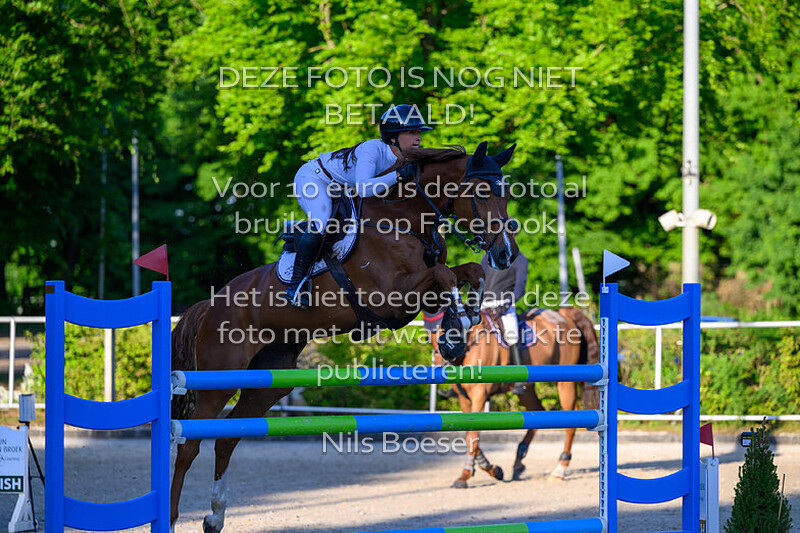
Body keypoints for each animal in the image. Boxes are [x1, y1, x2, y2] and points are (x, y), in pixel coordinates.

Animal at [169, 141, 520, 531]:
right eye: (482, 192)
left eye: (506, 193)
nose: (506, 254)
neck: (406, 221)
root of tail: (210, 305)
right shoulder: (392, 297)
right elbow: (445, 276)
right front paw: (457, 331)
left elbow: (468, 272)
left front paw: (463, 322)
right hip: (218, 382)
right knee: (189, 444)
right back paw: (171, 516)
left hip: (268, 383)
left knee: (227, 439)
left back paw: (215, 516)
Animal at [433, 307, 599, 489]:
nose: (444, 363)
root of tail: (562, 314)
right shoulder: (464, 399)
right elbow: (469, 434)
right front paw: (493, 470)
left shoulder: (479, 394)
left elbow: (472, 435)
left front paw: (465, 475)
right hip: (528, 390)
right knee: (536, 412)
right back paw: (519, 461)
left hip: (565, 382)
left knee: (571, 416)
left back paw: (559, 469)